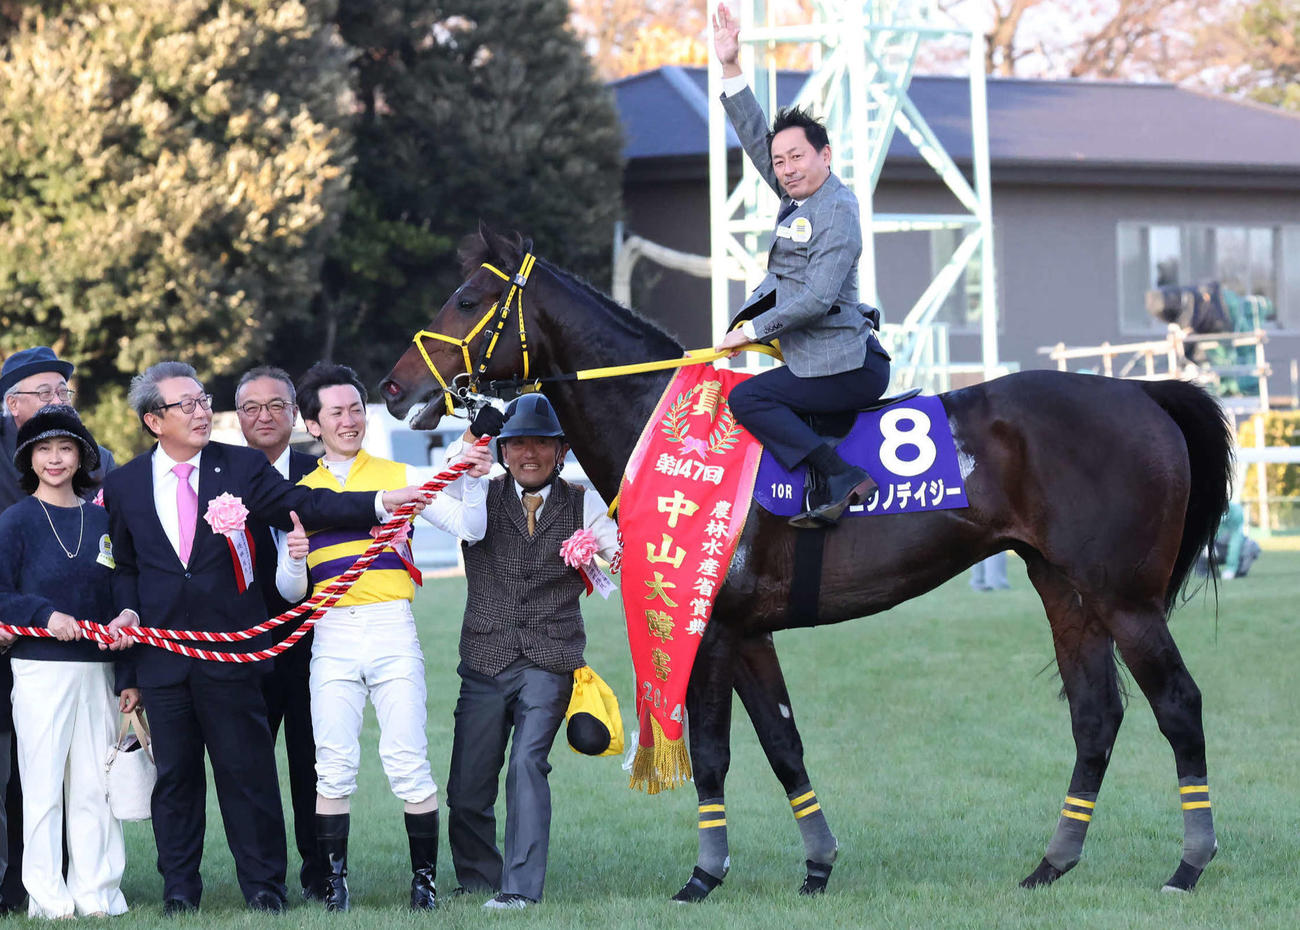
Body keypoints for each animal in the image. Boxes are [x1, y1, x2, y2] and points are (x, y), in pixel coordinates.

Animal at [382, 228, 1227, 900]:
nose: (393, 387)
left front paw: (704, 875)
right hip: (1064, 590)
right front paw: (817, 866)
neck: (670, 424)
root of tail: (1143, 395)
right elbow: (784, 744)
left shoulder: (712, 632)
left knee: (1180, 703)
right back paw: (1054, 862)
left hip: (1125, 599)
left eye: (466, 298)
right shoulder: (751, 633)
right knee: (1096, 715)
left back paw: (1189, 864)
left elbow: (714, 755)